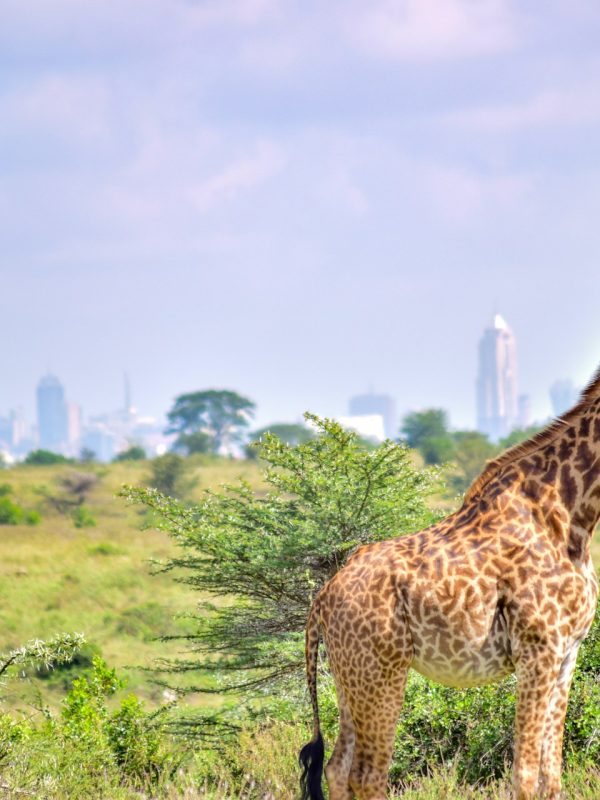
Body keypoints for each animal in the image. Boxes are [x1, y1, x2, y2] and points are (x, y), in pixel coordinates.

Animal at [299, 371, 600, 800]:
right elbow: (525, 775)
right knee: (367, 774)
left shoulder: (567, 652)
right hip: (381, 672)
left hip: (349, 677)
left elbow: (552, 775)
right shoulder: (537, 649)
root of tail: (322, 599)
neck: (572, 517)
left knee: (337, 767)